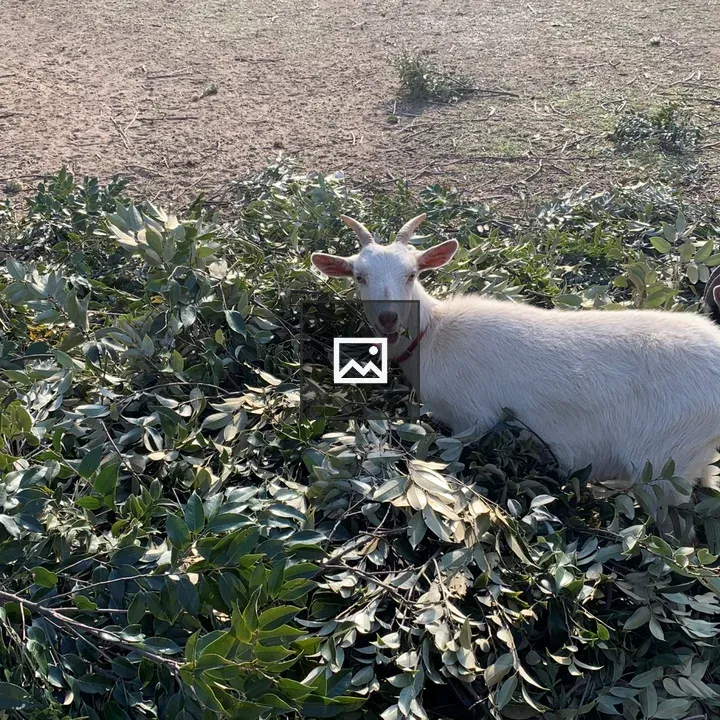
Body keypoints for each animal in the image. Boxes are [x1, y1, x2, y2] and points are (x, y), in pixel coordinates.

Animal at [311, 213, 720, 506]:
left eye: (412, 274)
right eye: (359, 276)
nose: (388, 318)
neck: (434, 334)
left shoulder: (472, 417)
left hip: (665, 461)